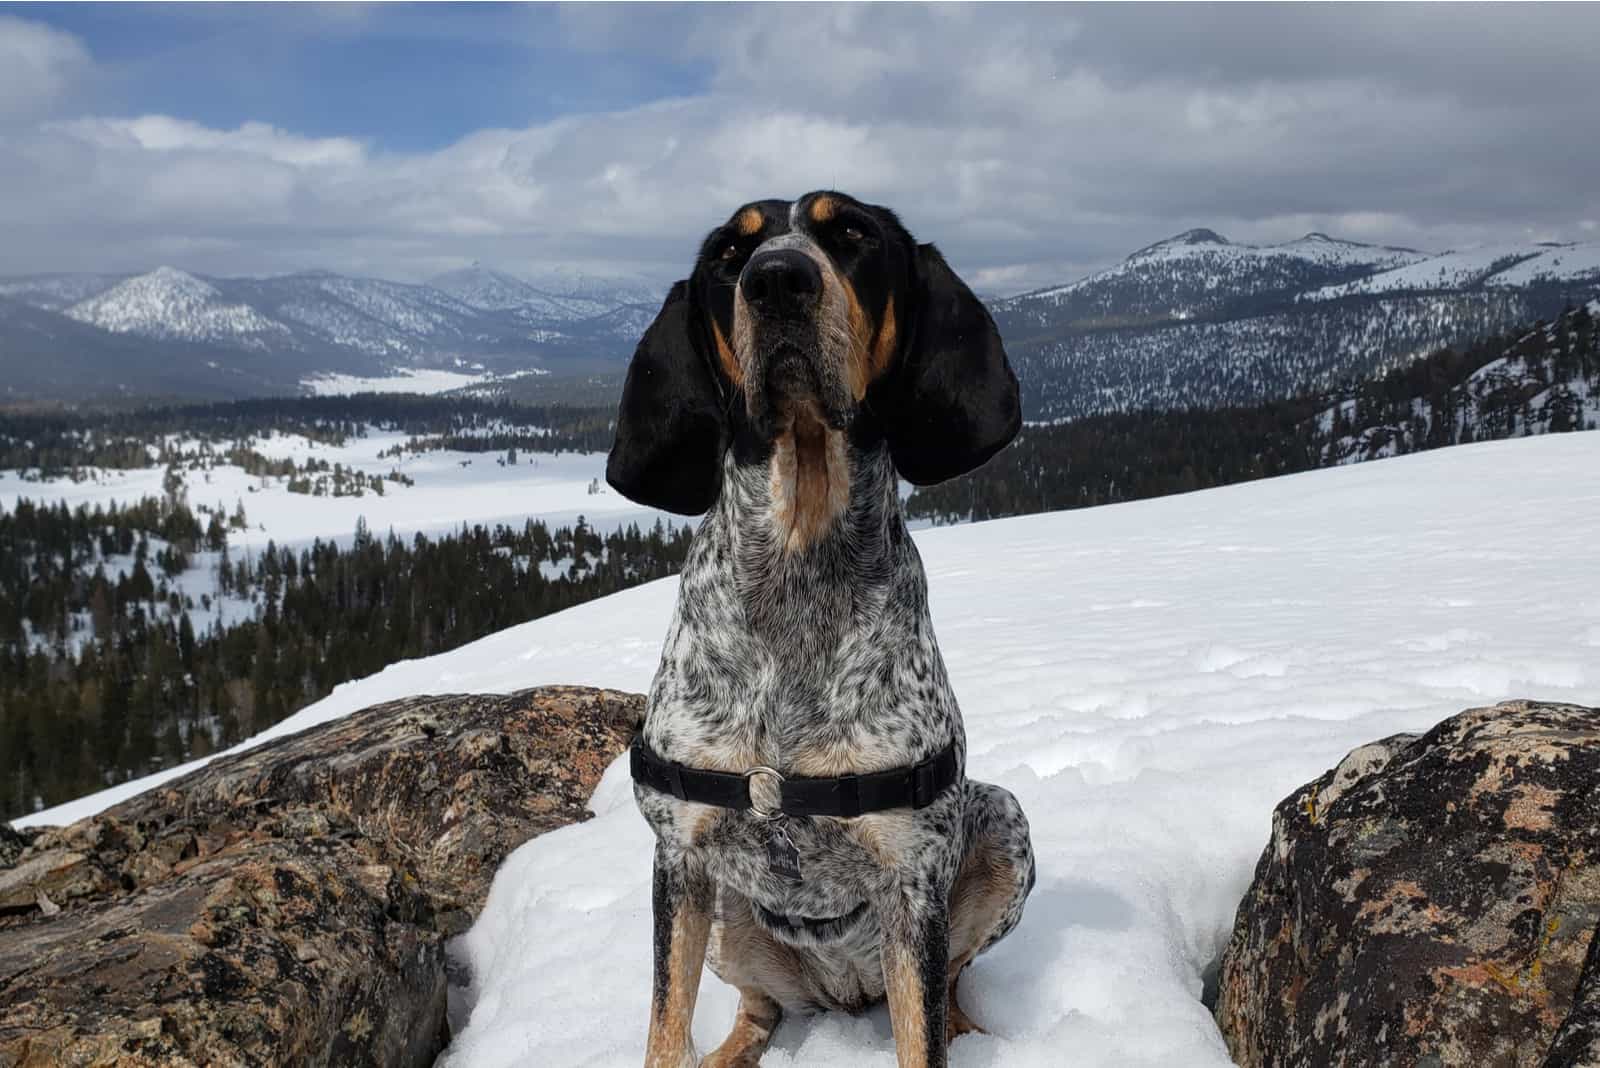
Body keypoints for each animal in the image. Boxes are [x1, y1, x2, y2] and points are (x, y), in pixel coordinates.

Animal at [601, 191, 1036, 1068]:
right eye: (729, 254)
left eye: (853, 234)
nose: (776, 280)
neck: (798, 570)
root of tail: (841, 994)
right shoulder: (680, 860)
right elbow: (665, 1026)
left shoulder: (912, 878)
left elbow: (923, 1039)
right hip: (730, 926)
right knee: (757, 1010)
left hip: (1002, 829)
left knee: (947, 990)